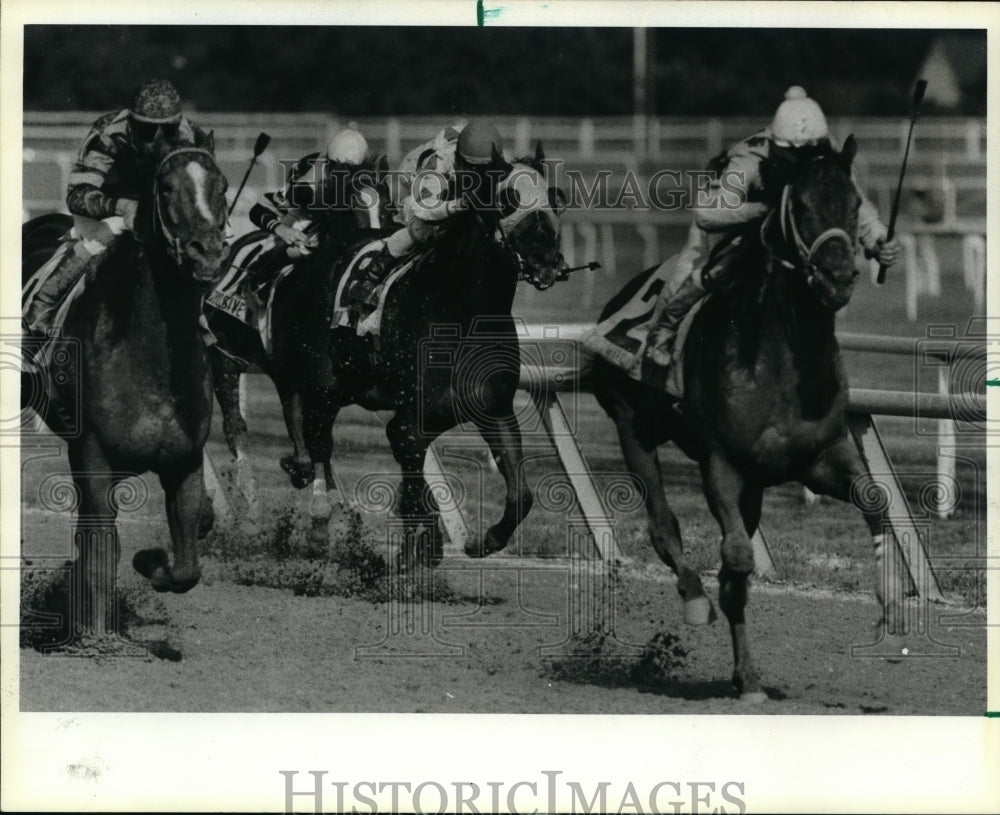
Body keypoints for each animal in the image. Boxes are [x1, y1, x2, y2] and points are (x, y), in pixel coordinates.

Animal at [22, 129, 229, 644]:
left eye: (220, 185)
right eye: (166, 188)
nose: (207, 252)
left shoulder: (184, 460)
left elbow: (187, 566)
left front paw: (151, 561)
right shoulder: (93, 452)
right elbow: (102, 542)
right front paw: (95, 634)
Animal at [592, 137, 900, 704]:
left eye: (854, 204)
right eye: (801, 206)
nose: (838, 276)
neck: (781, 361)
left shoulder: (821, 456)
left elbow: (875, 501)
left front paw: (889, 615)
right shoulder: (721, 461)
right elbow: (735, 557)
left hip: (756, 484)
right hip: (631, 424)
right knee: (663, 526)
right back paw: (694, 597)